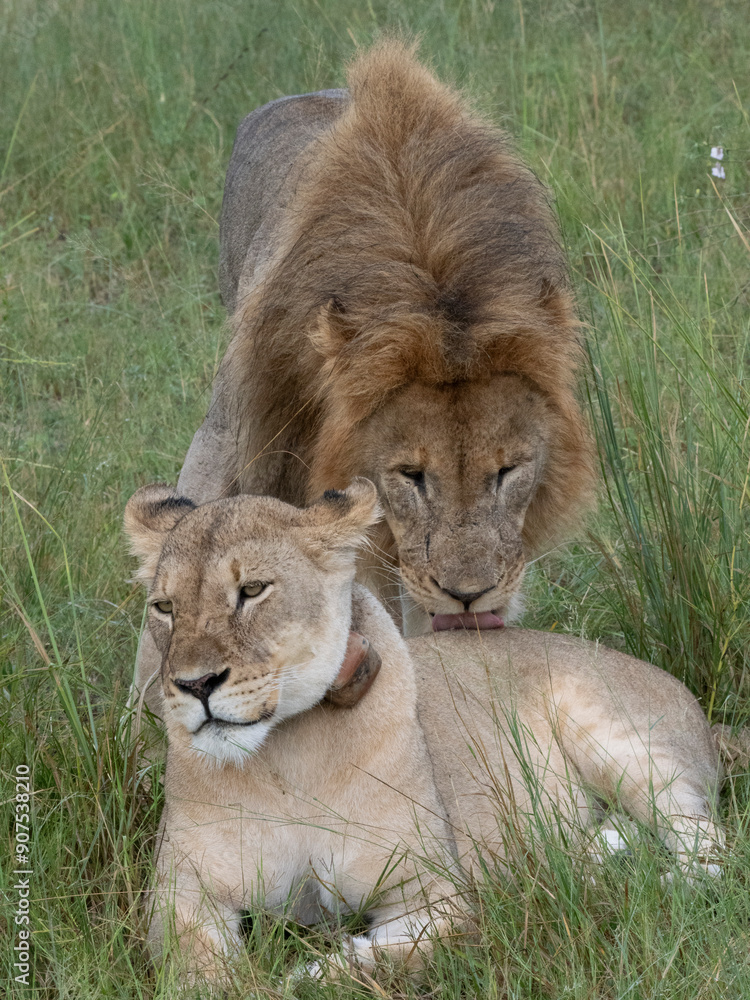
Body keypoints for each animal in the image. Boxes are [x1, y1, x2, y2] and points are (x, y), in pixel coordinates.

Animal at [124, 480, 723, 985]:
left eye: (252, 590)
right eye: (165, 607)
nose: (194, 684)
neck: (286, 756)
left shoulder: (436, 893)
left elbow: (401, 956)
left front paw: (307, 974)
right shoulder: (180, 894)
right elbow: (196, 970)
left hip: (620, 743)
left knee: (709, 848)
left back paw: (634, 884)